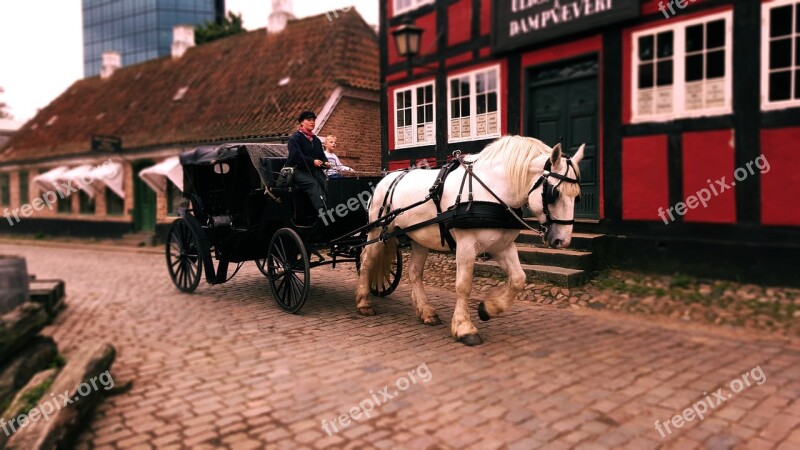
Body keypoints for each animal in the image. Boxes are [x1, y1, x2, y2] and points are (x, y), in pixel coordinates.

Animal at [354, 135, 584, 346]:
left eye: (578, 196)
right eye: (554, 193)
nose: (562, 240)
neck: (491, 190)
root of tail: (388, 178)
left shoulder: (502, 246)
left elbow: (519, 279)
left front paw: (487, 309)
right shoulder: (466, 246)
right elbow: (463, 285)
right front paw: (464, 328)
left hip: (419, 237)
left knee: (414, 273)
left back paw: (426, 311)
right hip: (377, 231)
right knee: (366, 261)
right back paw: (364, 302)